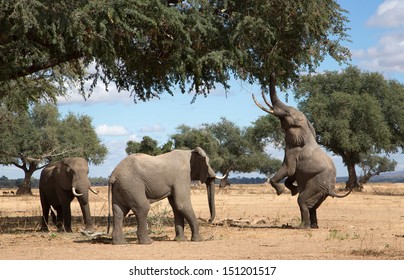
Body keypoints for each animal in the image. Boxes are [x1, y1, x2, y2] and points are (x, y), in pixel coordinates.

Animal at [252, 75, 350, 229]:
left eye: (286, 114)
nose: (272, 74)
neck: (306, 129)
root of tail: (330, 188)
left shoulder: (293, 151)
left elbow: (289, 169)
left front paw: (282, 191)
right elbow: (292, 174)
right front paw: (294, 190)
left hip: (317, 183)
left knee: (302, 201)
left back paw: (303, 227)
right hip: (320, 189)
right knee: (313, 206)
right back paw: (313, 226)